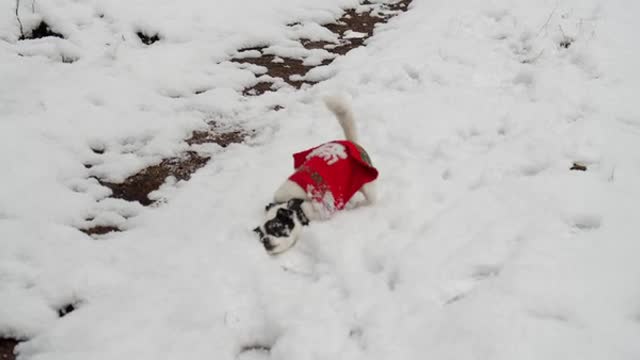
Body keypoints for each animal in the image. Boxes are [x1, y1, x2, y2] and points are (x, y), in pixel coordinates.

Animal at [252, 95, 378, 253]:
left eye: (275, 229)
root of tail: (350, 143)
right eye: (260, 236)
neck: (298, 207)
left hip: (367, 184)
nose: (265, 240)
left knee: (371, 200)